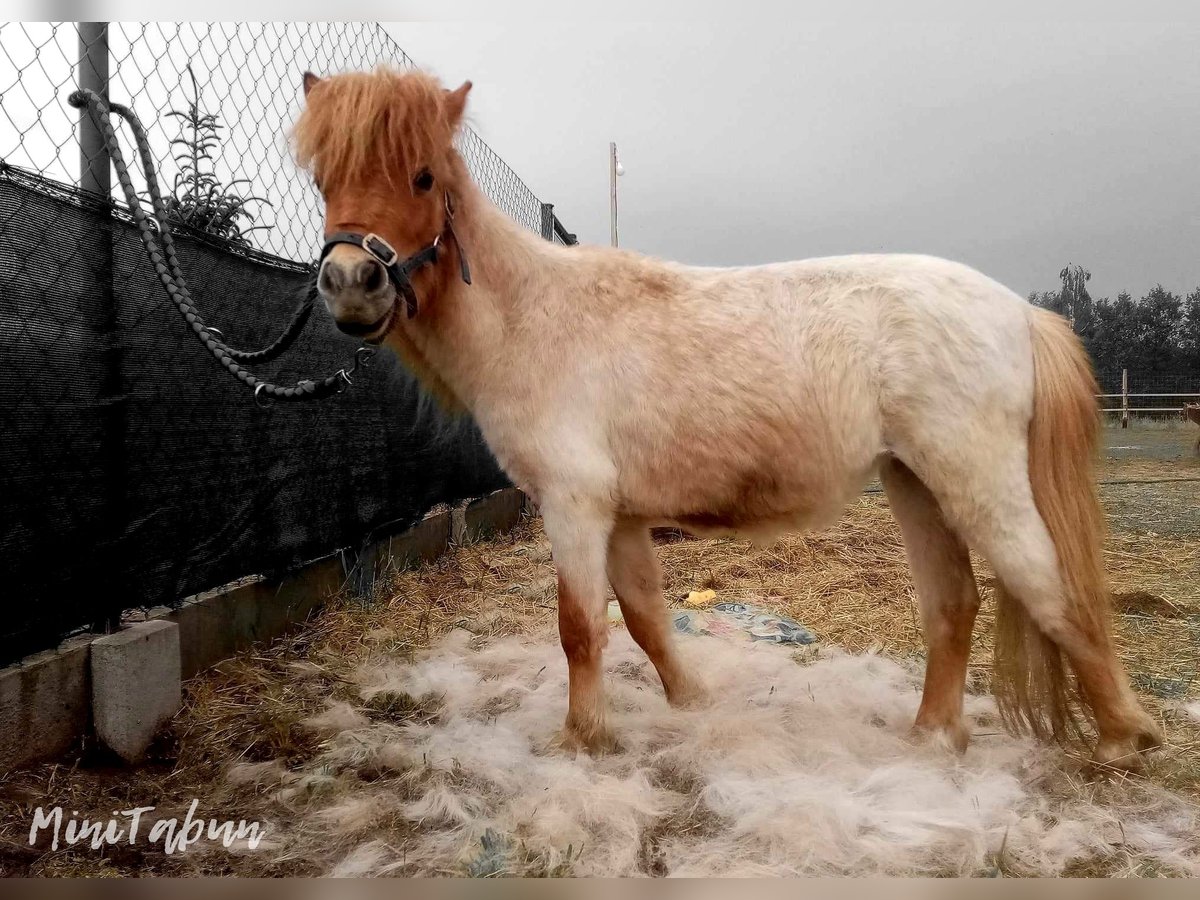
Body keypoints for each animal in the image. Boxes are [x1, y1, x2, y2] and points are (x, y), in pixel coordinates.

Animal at [292, 72, 1161, 777]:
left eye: (422, 175)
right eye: (324, 178)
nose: (351, 282)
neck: (537, 319)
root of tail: (1018, 312)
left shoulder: (574, 505)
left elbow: (579, 627)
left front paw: (580, 742)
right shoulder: (620, 515)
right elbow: (643, 617)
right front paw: (691, 703)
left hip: (977, 482)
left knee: (1050, 587)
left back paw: (1123, 739)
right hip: (916, 484)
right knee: (953, 606)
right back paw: (929, 737)